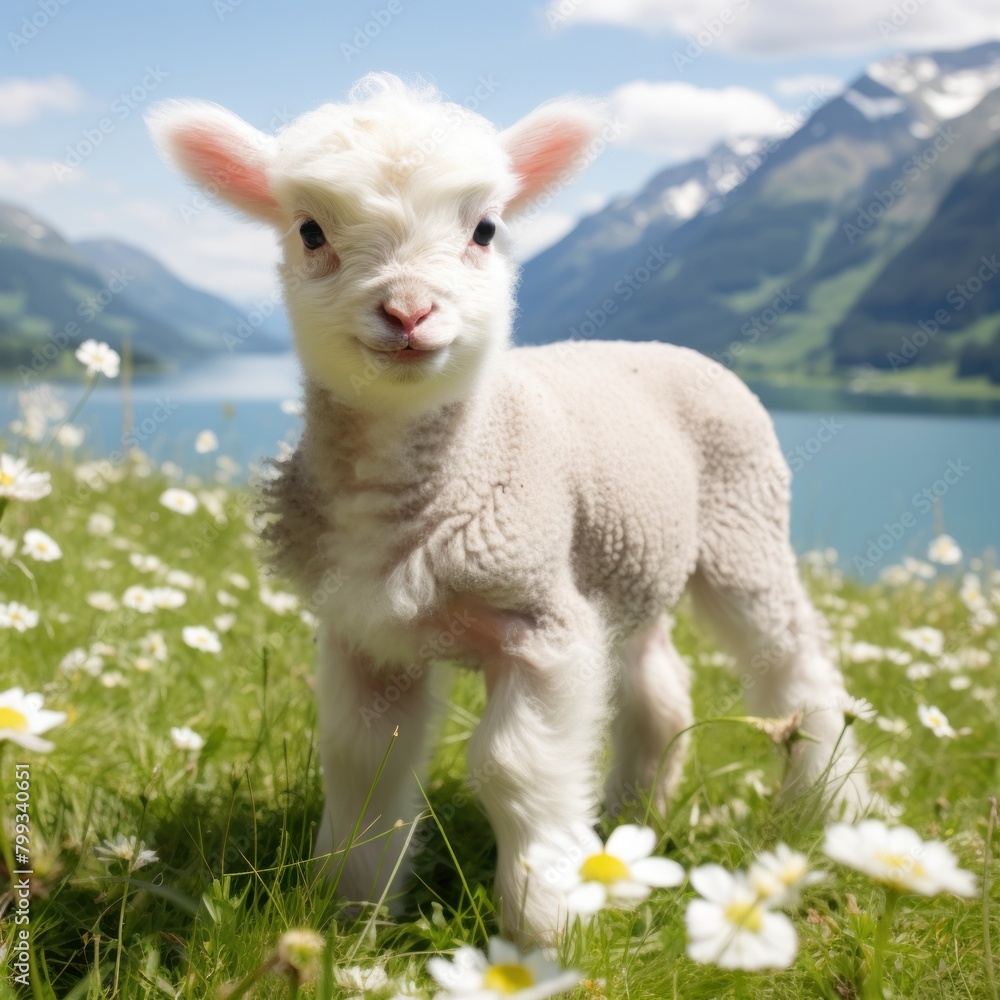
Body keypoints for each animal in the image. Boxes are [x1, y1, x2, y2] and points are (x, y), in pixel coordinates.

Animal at [147, 74, 870, 942]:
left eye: (486, 229)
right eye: (310, 230)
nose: (408, 311)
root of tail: (665, 348)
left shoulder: (539, 622)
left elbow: (511, 768)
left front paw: (548, 924)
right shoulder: (366, 632)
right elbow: (362, 763)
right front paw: (350, 917)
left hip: (743, 525)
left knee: (795, 666)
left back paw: (830, 807)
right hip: (620, 551)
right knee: (658, 685)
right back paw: (634, 816)